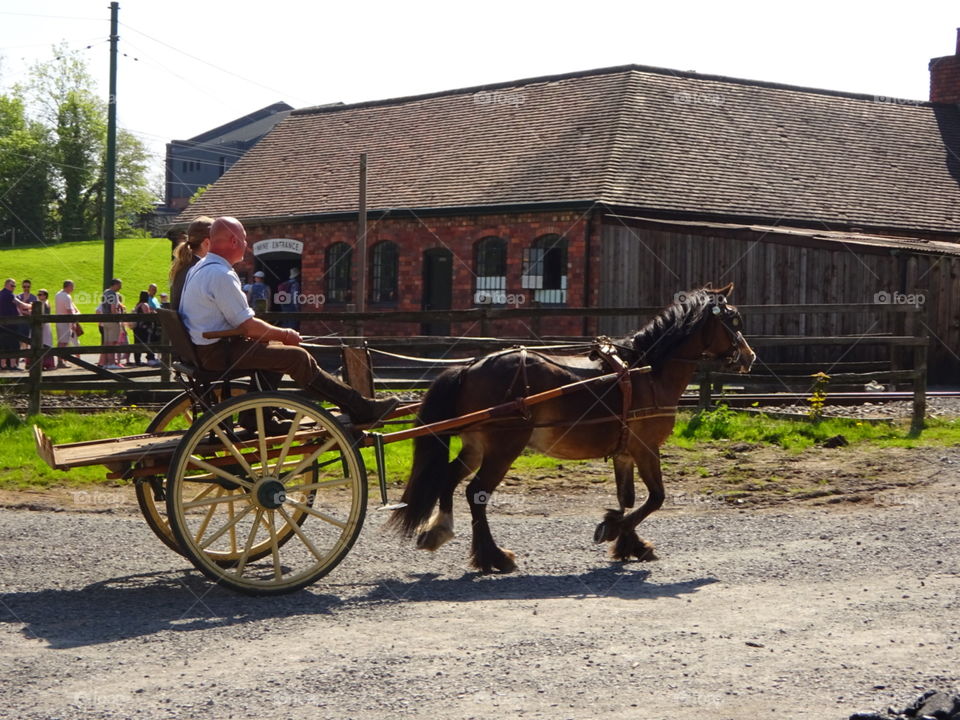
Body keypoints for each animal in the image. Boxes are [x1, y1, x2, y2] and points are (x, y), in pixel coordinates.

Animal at [386, 284, 752, 572]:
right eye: (733, 320)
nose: (750, 356)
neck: (646, 370)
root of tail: (471, 367)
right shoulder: (645, 447)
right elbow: (656, 498)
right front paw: (611, 530)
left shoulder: (625, 452)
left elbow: (628, 498)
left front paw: (629, 542)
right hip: (503, 449)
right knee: (476, 493)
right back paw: (494, 556)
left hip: (477, 447)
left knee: (448, 480)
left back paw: (441, 531)